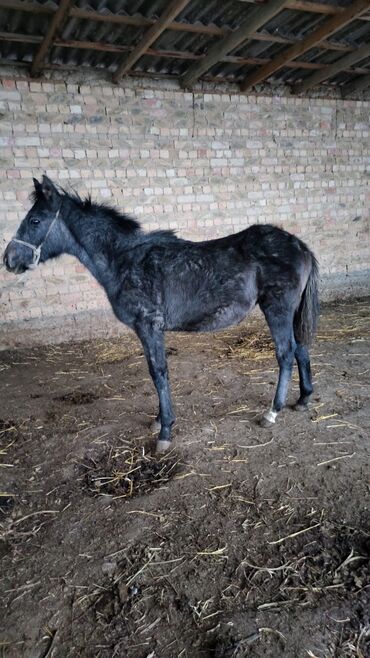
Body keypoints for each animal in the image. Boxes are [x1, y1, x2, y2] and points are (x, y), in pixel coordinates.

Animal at [2, 174, 320, 452]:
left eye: (35, 220)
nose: (9, 259)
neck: (124, 260)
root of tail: (300, 245)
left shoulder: (149, 326)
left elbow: (158, 372)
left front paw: (165, 431)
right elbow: (155, 372)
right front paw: (158, 421)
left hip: (277, 309)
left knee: (285, 353)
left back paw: (272, 412)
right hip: (290, 312)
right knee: (301, 348)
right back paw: (303, 398)